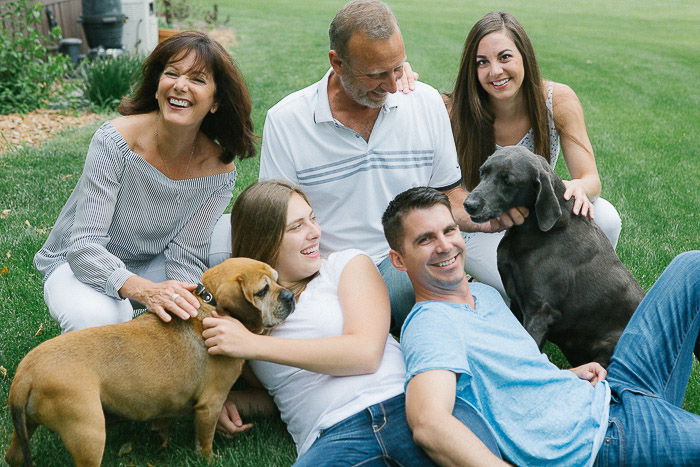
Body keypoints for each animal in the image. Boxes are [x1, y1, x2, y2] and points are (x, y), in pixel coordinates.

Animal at [3, 258, 292, 466]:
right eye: (262, 291)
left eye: (278, 281)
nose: (289, 296)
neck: (209, 304)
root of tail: (26, 374)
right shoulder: (211, 404)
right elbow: (205, 442)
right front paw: (210, 459)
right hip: (89, 433)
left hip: (28, 428)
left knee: (13, 456)